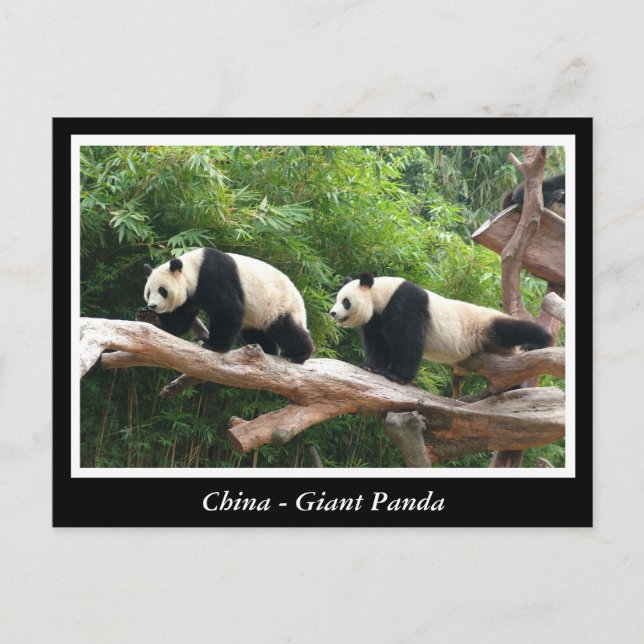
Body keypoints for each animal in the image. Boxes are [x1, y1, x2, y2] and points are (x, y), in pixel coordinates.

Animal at [141, 248, 314, 363]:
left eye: (162, 291)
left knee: (286, 329)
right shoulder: (190, 296)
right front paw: (148, 317)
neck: (193, 269)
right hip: (257, 317)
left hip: (279, 305)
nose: (153, 306)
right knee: (255, 333)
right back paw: (268, 350)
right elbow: (179, 320)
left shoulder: (213, 275)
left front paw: (214, 346)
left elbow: (228, 310)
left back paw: (299, 354)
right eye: (149, 292)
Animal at [330, 273, 552, 384]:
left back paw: (540, 341)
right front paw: (371, 366)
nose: (332, 313)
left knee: (510, 329)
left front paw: (397, 376)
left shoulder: (405, 303)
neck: (381, 294)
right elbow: (377, 342)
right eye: (337, 299)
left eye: (346, 302)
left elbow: (409, 341)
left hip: (483, 324)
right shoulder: (376, 319)